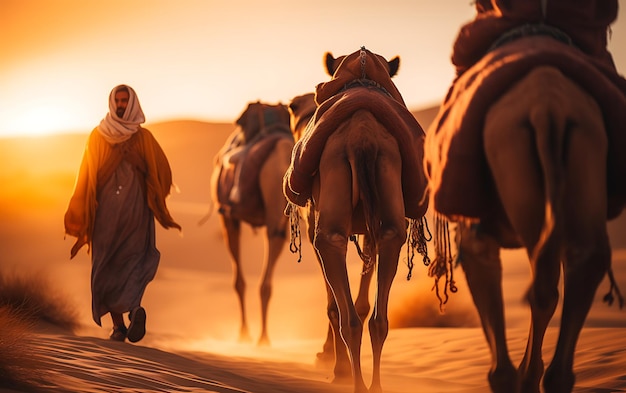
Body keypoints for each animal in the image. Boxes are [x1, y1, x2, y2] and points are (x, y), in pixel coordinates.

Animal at [211, 100, 294, 344]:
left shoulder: (227, 216)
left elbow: (238, 281)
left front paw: (243, 333)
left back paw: (259, 337)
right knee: (276, 243)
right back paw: (264, 337)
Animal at [282, 49, 428, 392]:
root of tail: (362, 138)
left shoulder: (313, 223)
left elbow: (333, 304)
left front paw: (333, 363)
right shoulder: (369, 229)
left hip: (329, 212)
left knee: (332, 252)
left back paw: (350, 377)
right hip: (388, 197)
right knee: (378, 314)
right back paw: (373, 384)